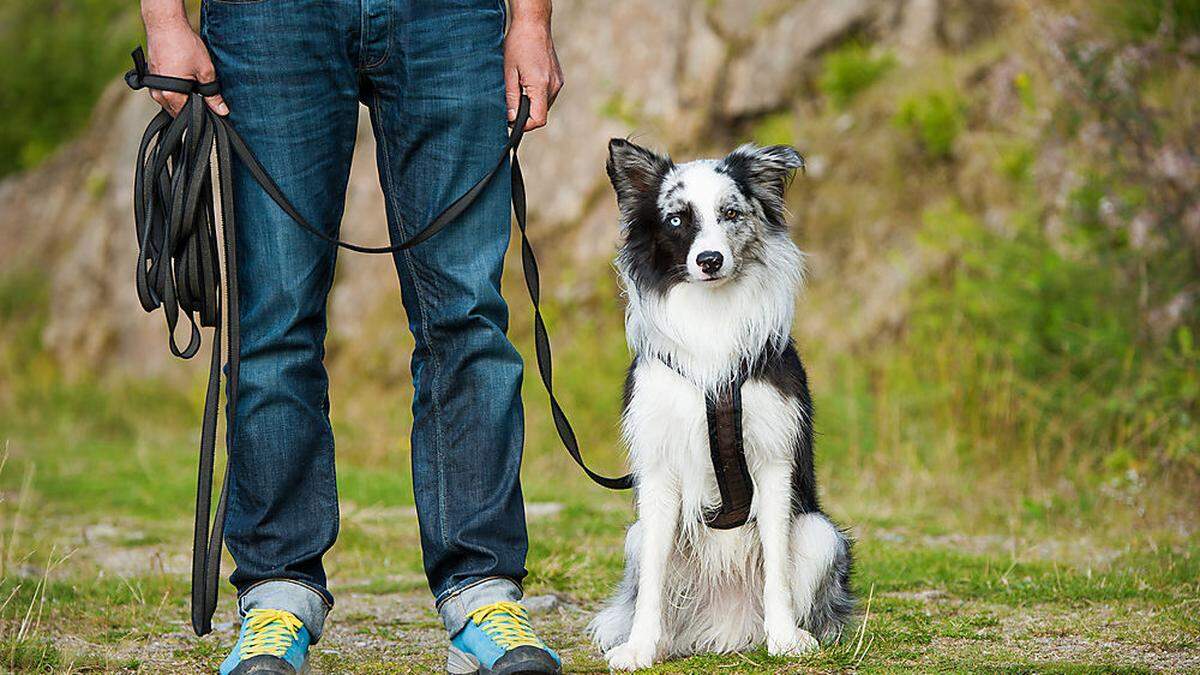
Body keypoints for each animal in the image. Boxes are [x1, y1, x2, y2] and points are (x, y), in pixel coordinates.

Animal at [588, 139, 854, 662]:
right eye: (676, 219)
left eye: (730, 213)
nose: (709, 260)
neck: (711, 317)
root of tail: (726, 626)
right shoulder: (659, 467)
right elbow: (652, 582)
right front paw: (640, 648)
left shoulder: (773, 460)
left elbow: (776, 565)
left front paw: (785, 638)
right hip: (635, 537)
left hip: (821, 534)